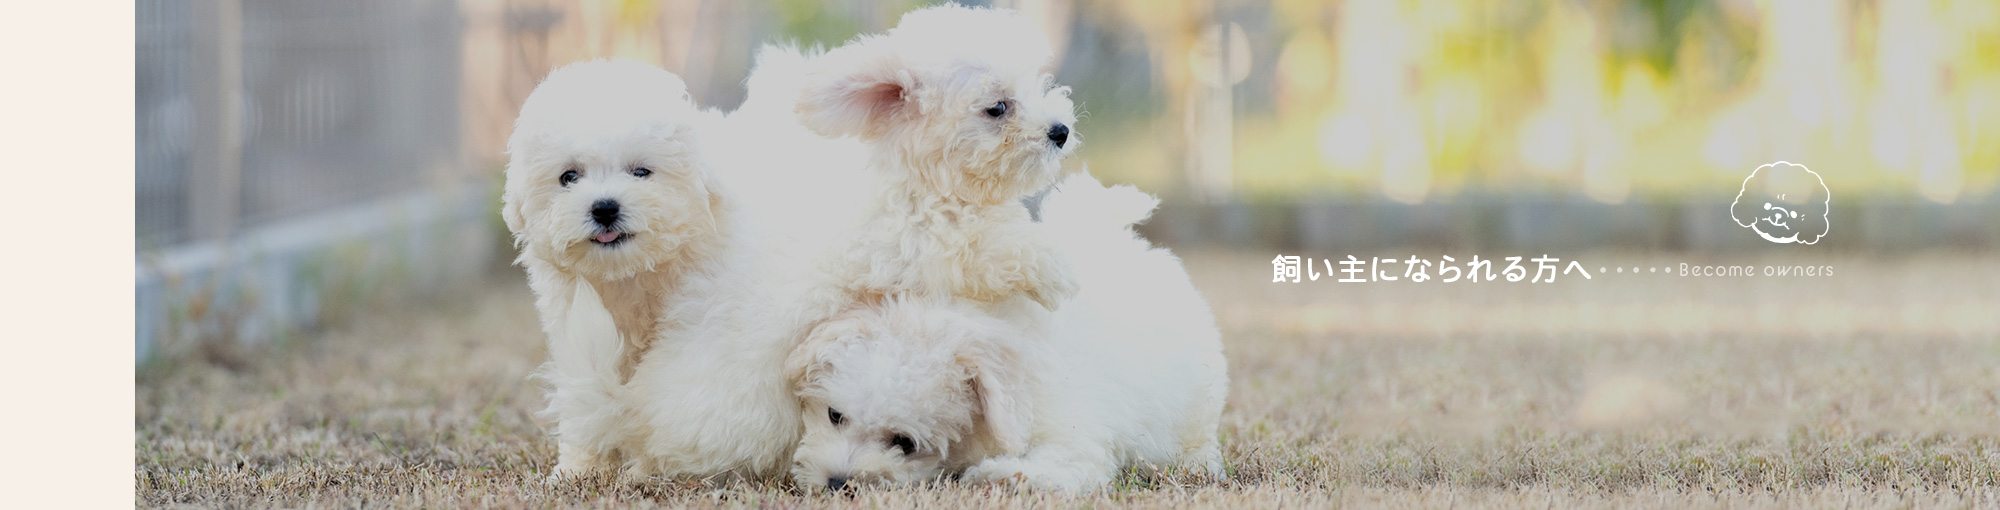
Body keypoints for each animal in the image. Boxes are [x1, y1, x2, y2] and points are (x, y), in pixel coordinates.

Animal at [784, 173, 1224, 492]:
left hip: (1195, 402)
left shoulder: (1073, 433)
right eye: (835, 415)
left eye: (904, 443)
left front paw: (999, 474)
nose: (837, 483)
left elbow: (1062, 464)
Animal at [792, 3, 1080, 310]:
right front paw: (1054, 269)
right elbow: (981, 253)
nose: (1061, 131)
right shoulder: (920, 258)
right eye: (998, 107)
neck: (934, 192)